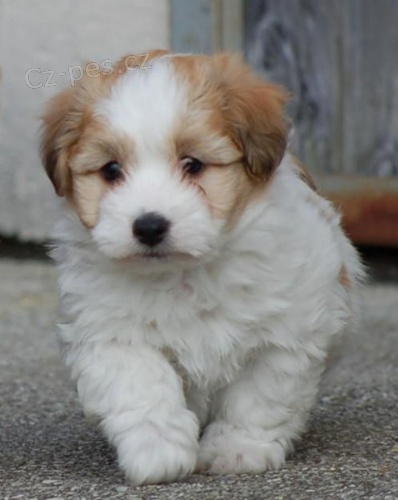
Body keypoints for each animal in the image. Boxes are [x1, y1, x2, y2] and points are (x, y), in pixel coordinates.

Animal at [41, 49, 364, 484]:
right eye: (111, 170)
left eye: (193, 164)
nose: (149, 225)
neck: (183, 273)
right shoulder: (109, 331)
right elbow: (141, 384)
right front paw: (157, 450)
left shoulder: (285, 335)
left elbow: (257, 396)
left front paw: (237, 449)